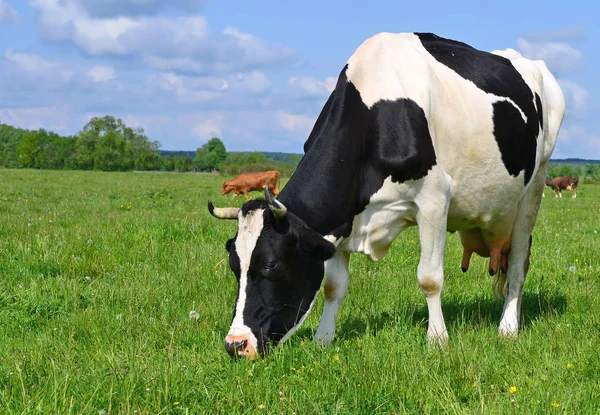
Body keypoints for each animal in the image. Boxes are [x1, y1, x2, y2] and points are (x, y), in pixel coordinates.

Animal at [209, 32, 564, 360]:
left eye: (271, 265)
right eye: (234, 266)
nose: (235, 344)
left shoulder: (434, 200)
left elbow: (430, 278)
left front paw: (437, 340)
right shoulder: (341, 218)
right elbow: (333, 285)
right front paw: (324, 339)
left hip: (535, 184)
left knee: (518, 263)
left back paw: (508, 327)